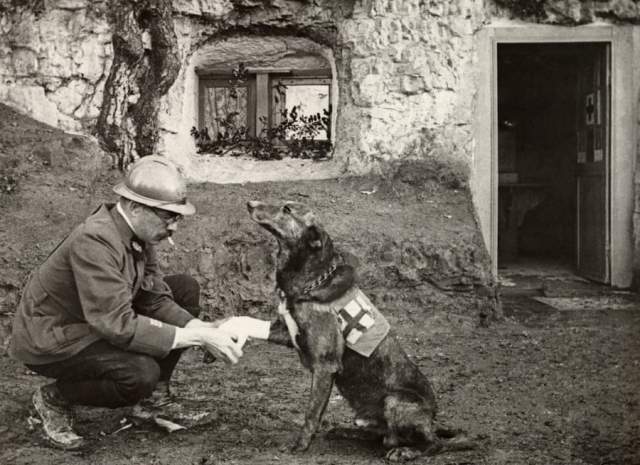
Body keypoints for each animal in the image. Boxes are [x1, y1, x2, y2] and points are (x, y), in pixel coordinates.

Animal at [249, 199, 476, 460]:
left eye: (287, 210)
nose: (250, 203)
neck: (312, 281)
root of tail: (432, 420)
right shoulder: (289, 334)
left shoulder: (325, 366)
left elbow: (311, 414)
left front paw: (300, 445)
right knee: (382, 436)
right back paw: (347, 432)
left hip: (395, 401)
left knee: (432, 444)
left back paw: (406, 451)